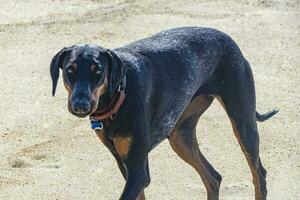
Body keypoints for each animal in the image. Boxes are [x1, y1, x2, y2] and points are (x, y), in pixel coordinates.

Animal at [49, 27, 278, 200]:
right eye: (70, 70)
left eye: (98, 71)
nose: (80, 105)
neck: (120, 95)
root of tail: (230, 40)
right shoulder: (126, 165)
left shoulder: (138, 171)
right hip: (180, 136)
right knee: (213, 178)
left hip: (243, 123)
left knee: (259, 174)